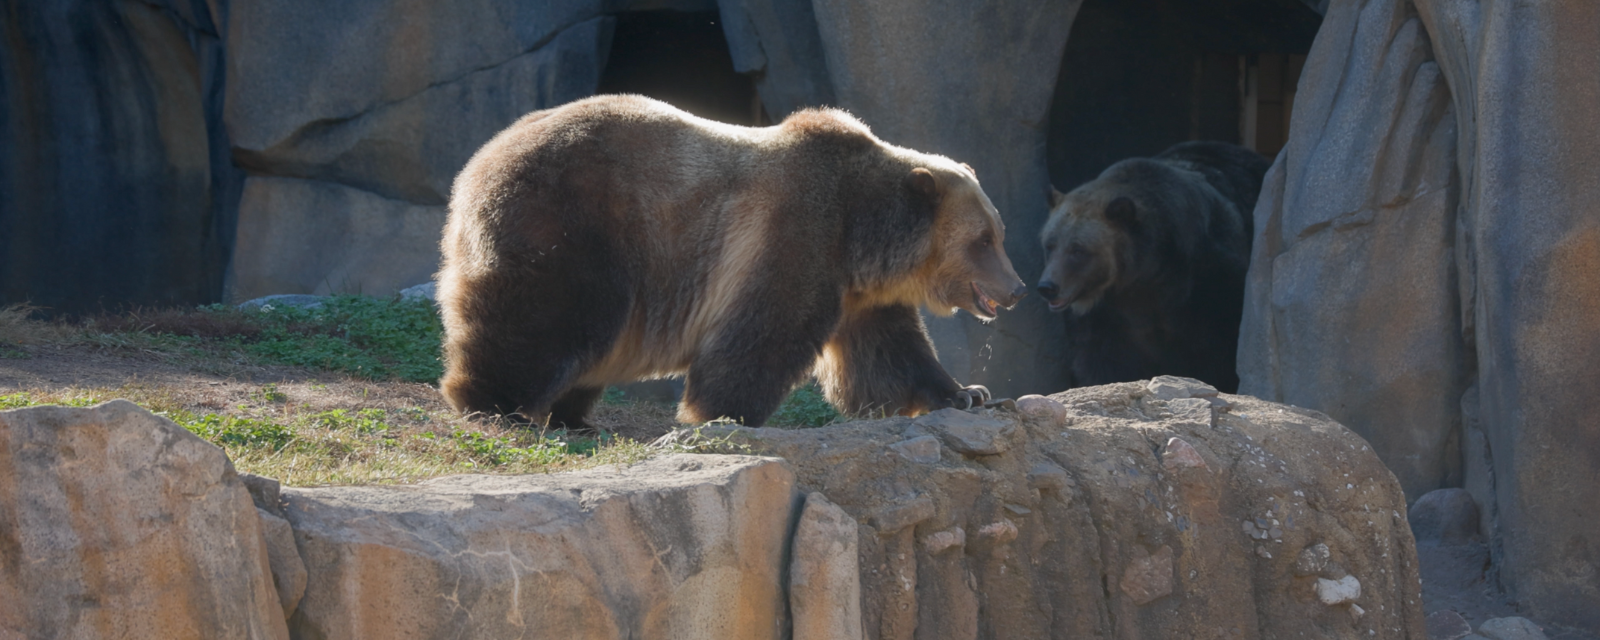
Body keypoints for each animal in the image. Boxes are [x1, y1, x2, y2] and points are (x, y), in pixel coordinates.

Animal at [437, 94, 1028, 428]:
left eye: (998, 234)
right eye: (983, 240)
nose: (1017, 288)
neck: (863, 231)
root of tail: (480, 159)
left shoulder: (860, 289)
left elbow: (890, 353)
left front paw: (967, 393)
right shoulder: (796, 229)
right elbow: (764, 331)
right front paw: (721, 413)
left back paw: (574, 418)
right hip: (572, 220)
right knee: (547, 317)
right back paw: (494, 403)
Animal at [1036, 140, 1269, 393]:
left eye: (1078, 250)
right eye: (1050, 245)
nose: (1048, 287)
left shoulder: (1207, 280)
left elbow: (1218, 348)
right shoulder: (1110, 316)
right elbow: (1102, 358)